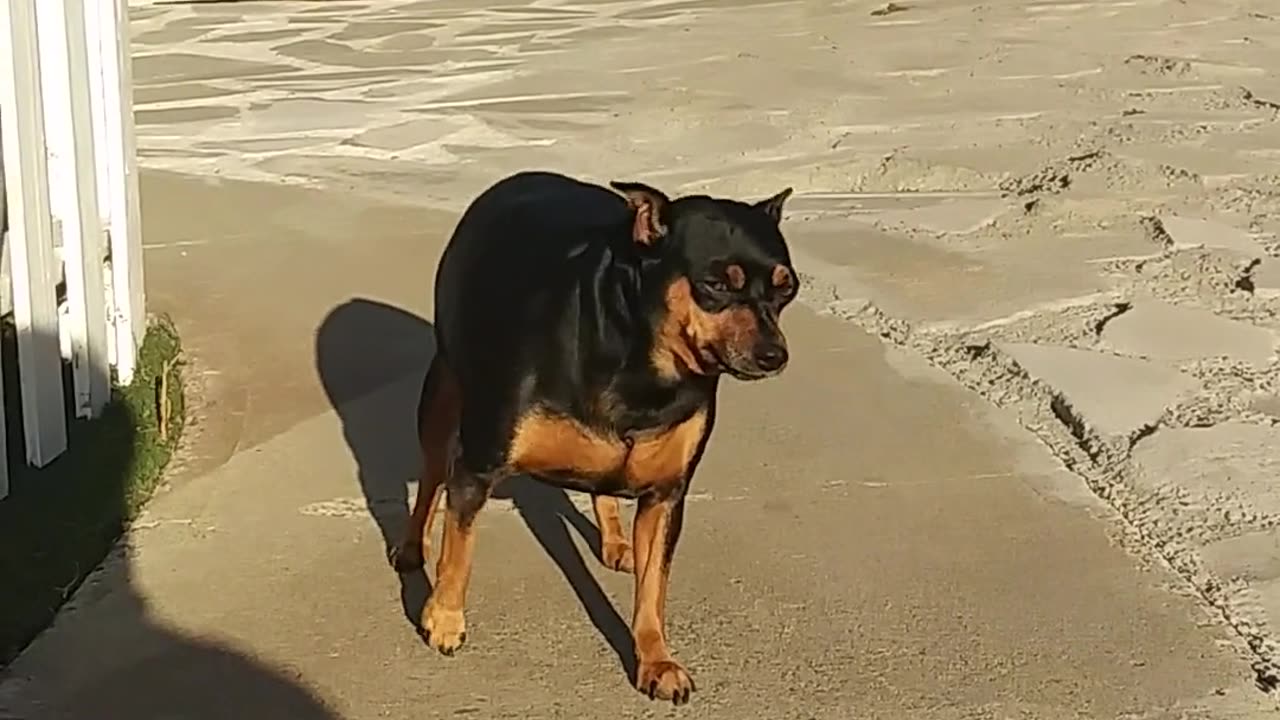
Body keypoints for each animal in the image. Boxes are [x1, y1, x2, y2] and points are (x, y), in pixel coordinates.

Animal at [389, 170, 793, 702]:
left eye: (788, 289)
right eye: (715, 286)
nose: (775, 355)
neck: (645, 368)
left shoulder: (666, 495)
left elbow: (653, 588)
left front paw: (656, 660)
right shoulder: (478, 464)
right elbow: (461, 548)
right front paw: (444, 618)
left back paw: (616, 540)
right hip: (443, 391)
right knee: (431, 474)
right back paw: (412, 548)